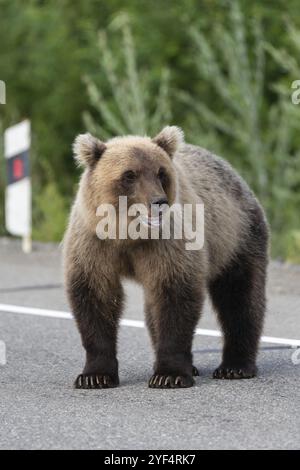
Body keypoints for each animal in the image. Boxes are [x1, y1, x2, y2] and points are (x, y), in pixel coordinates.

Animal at [63, 126, 270, 390]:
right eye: (130, 174)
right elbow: (96, 296)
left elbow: (174, 297)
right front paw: (94, 376)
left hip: (236, 237)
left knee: (239, 297)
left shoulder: (168, 243)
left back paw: (235, 366)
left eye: (161, 173)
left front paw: (169, 375)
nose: (158, 202)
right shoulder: (94, 243)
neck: (128, 235)